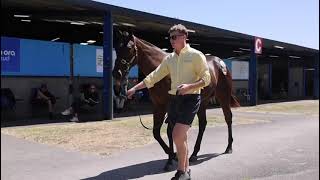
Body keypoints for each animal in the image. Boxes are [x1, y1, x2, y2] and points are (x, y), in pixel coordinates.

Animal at [112, 30, 240, 169]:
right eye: (116, 47)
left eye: (129, 47)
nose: (116, 73)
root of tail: (221, 63)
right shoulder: (158, 105)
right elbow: (156, 132)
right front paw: (173, 155)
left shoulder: (170, 106)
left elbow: (169, 131)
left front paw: (170, 159)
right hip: (203, 102)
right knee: (203, 124)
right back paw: (194, 154)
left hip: (223, 96)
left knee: (228, 118)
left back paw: (229, 147)